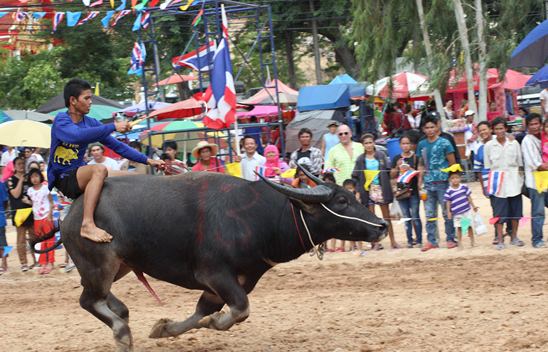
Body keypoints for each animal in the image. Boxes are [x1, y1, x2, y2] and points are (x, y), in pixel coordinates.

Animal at [39, 166, 386, 350]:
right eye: (341, 201)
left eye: (352, 195)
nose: (381, 226)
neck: (255, 217)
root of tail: (71, 212)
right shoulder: (215, 275)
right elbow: (240, 309)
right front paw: (216, 322)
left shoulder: (234, 282)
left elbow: (202, 312)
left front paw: (165, 328)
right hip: (100, 263)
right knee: (88, 299)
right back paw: (122, 333)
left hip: (120, 265)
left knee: (99, 295)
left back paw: (121, 312)